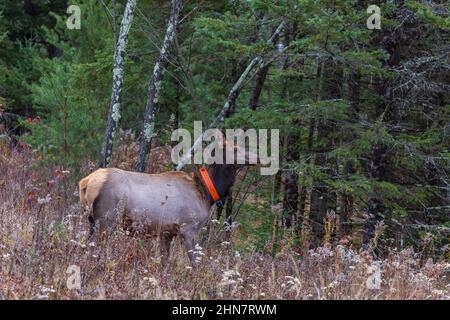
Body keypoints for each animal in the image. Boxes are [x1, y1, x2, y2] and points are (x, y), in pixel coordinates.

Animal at [77, 142, 253, 262]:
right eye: (235, 148)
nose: (257, 156)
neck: (206, 194)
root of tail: (86, 182)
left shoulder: (166, 233)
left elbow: (165, 262)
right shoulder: (188, 228)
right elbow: (195, 263)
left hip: (91, 220)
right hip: (107, 219)